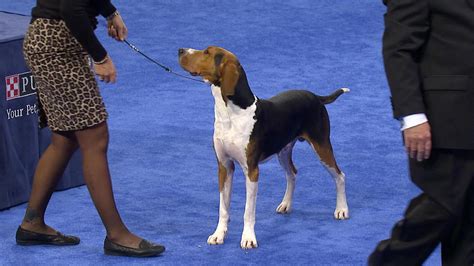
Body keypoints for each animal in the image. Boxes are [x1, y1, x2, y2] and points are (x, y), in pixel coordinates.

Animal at [178, 46, 348, 248]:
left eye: (207, 52)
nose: (180, 50)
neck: (232, 113)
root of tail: (316, 97)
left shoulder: (251, 171)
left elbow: (248, 211)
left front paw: (248, 238)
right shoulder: (224, 166)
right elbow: (223, 208)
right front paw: (218, 235)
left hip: (321, 146)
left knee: (339, 176)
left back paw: (342, 209)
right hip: (283, 151)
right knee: (292, 174)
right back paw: (286, 204)